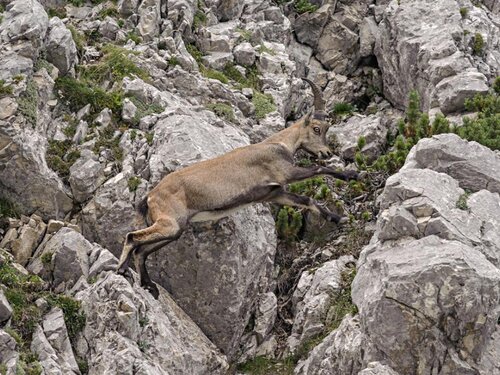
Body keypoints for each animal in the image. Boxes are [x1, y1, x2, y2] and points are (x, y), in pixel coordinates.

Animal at [117, 80, 360, 300]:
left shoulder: (275, 193)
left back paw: (149, 285)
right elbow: (318, 169)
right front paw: (351, 175)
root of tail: (150, 196)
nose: (327, 152)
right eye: (317, 129)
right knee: (131, 238)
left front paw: (338, 218)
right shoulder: (284, 172)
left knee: (142, 250)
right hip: (170, 222)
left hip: (175, 228)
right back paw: (122, 270)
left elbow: (306, 200)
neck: (278, 145)